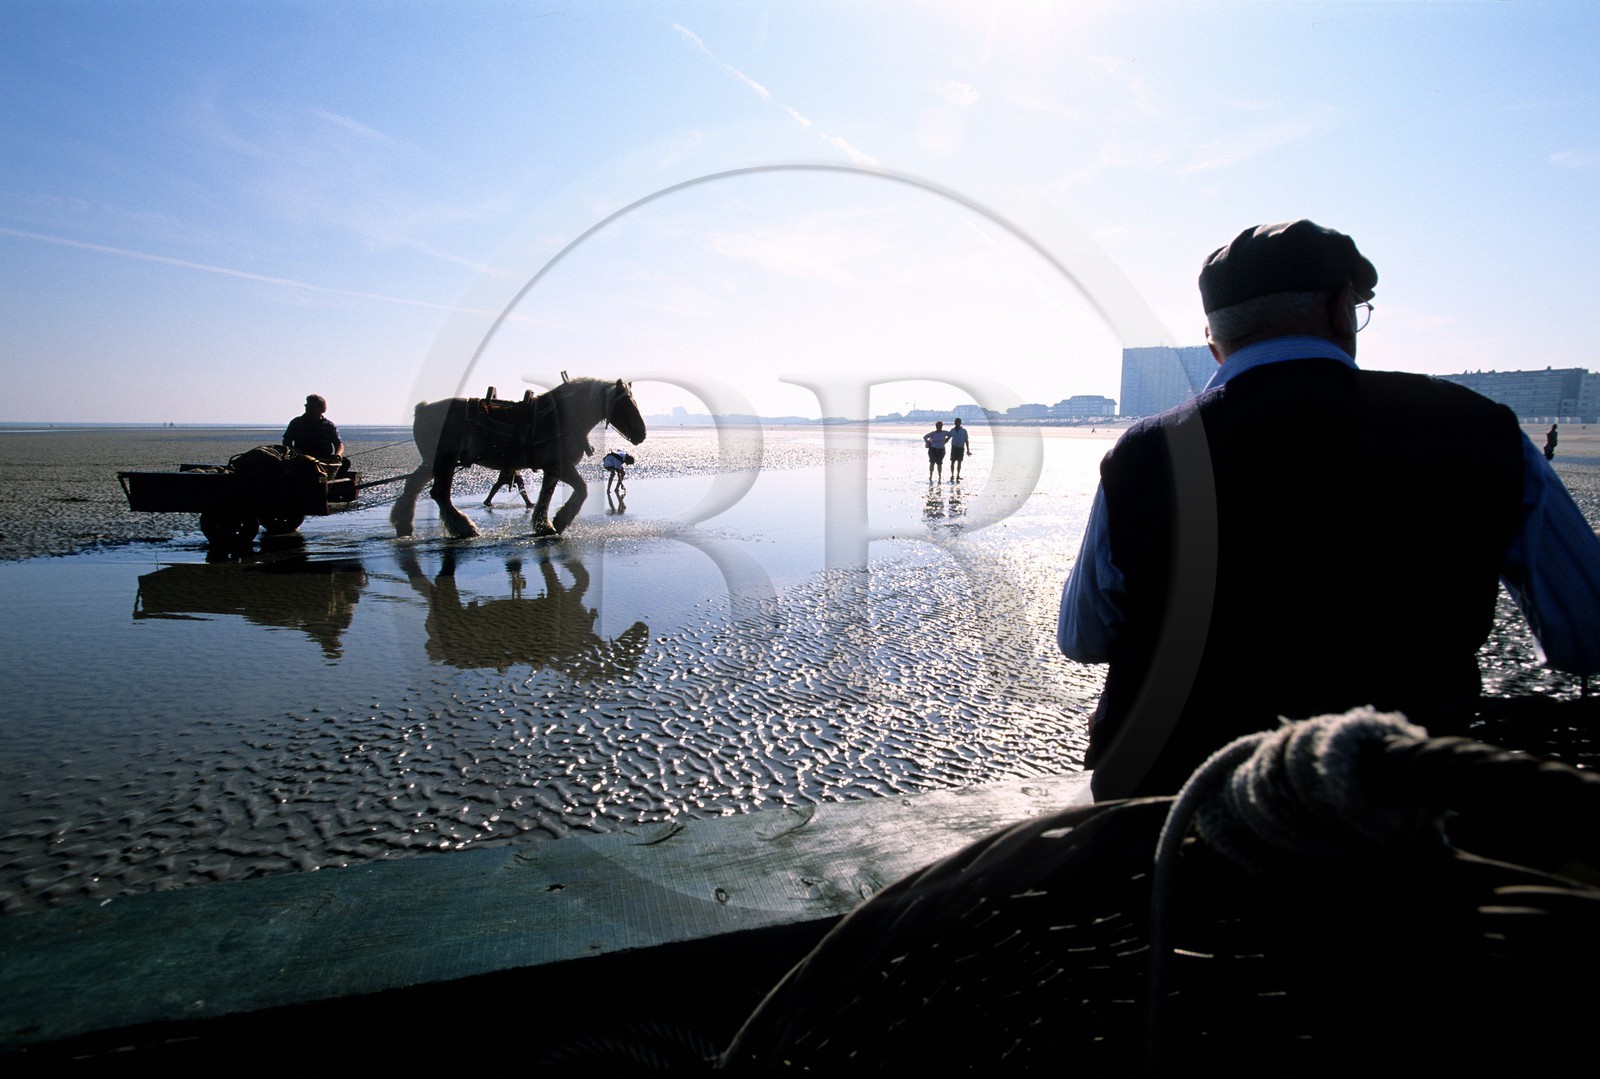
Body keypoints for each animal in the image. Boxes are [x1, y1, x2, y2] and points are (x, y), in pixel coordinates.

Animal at [391, 377, 646, 539]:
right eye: (625, 404)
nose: (642, 433)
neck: (562, 417)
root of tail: (423, 409)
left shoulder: (552, 469)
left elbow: (546, 496)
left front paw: (544, 525)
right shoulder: (559, 465)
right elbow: (581, 489)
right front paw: (560, 520)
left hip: (432, 463)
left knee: (412, 486)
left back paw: (403, 524)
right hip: (446, 461)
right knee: (439, 494)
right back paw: (464, 528)